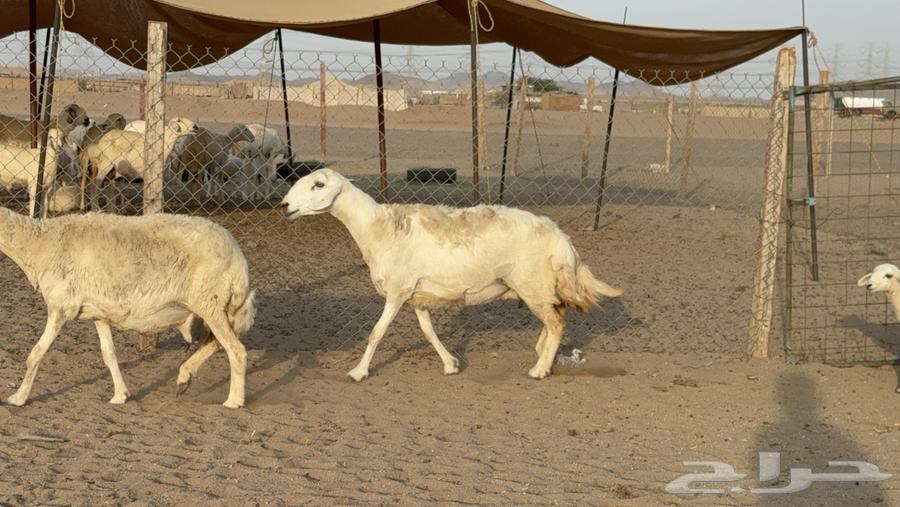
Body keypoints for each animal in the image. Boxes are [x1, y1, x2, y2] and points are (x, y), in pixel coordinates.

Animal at [0, 207, 255, 408]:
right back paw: (184, 376)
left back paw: (233, 401)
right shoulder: (98, 314)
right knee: (215, 342)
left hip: (210, 302)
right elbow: (109, 355)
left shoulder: (60, 307)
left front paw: (18, 398)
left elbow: (35, 354)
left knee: (236, 350)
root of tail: (239, 261)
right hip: (216, 307)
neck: (38, 244)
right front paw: (120, 395)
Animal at [281, 168, 623, 381]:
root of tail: (560, 237)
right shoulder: (416, 296)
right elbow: (429, 333)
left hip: (532, 282)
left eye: (318, 185)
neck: (378, 228)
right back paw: (543, 356)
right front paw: (450, 364)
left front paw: (357, 372)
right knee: (557, 316)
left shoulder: (397, 290)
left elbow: (376, 333)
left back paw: (539, 370)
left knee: (556, 322)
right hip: (538, 286)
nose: (284, 206)